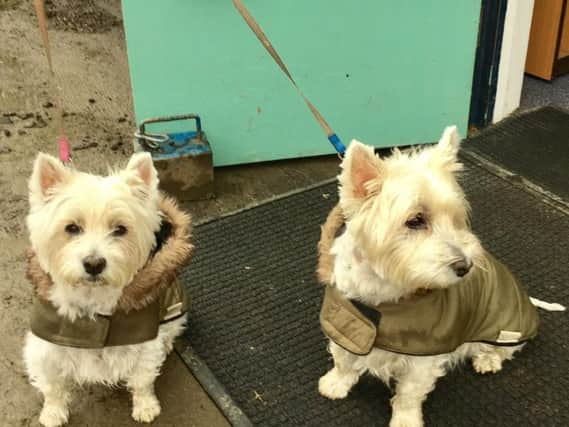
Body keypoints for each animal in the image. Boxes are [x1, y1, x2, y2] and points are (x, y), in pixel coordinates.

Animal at [23, 152, 191, 426]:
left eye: (120, 229)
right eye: (72, 228)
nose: (94, 264)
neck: (92, 302)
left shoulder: (143, 342)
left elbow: (142, 379)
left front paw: (146, 406)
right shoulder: (44, 345)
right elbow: (52, 385)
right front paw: (53, 413)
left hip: (174, 307)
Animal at [318, 127, 560, 427]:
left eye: (455, 218)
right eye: (415, 220)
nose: (466, 266)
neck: (386, 297)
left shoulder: (424, 356)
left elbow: (410, 393)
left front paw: (405, 420)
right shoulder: (347, 321)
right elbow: (344, 359)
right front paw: (335, 384)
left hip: (505, 328)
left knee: (505, 349)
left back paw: (487, 360)